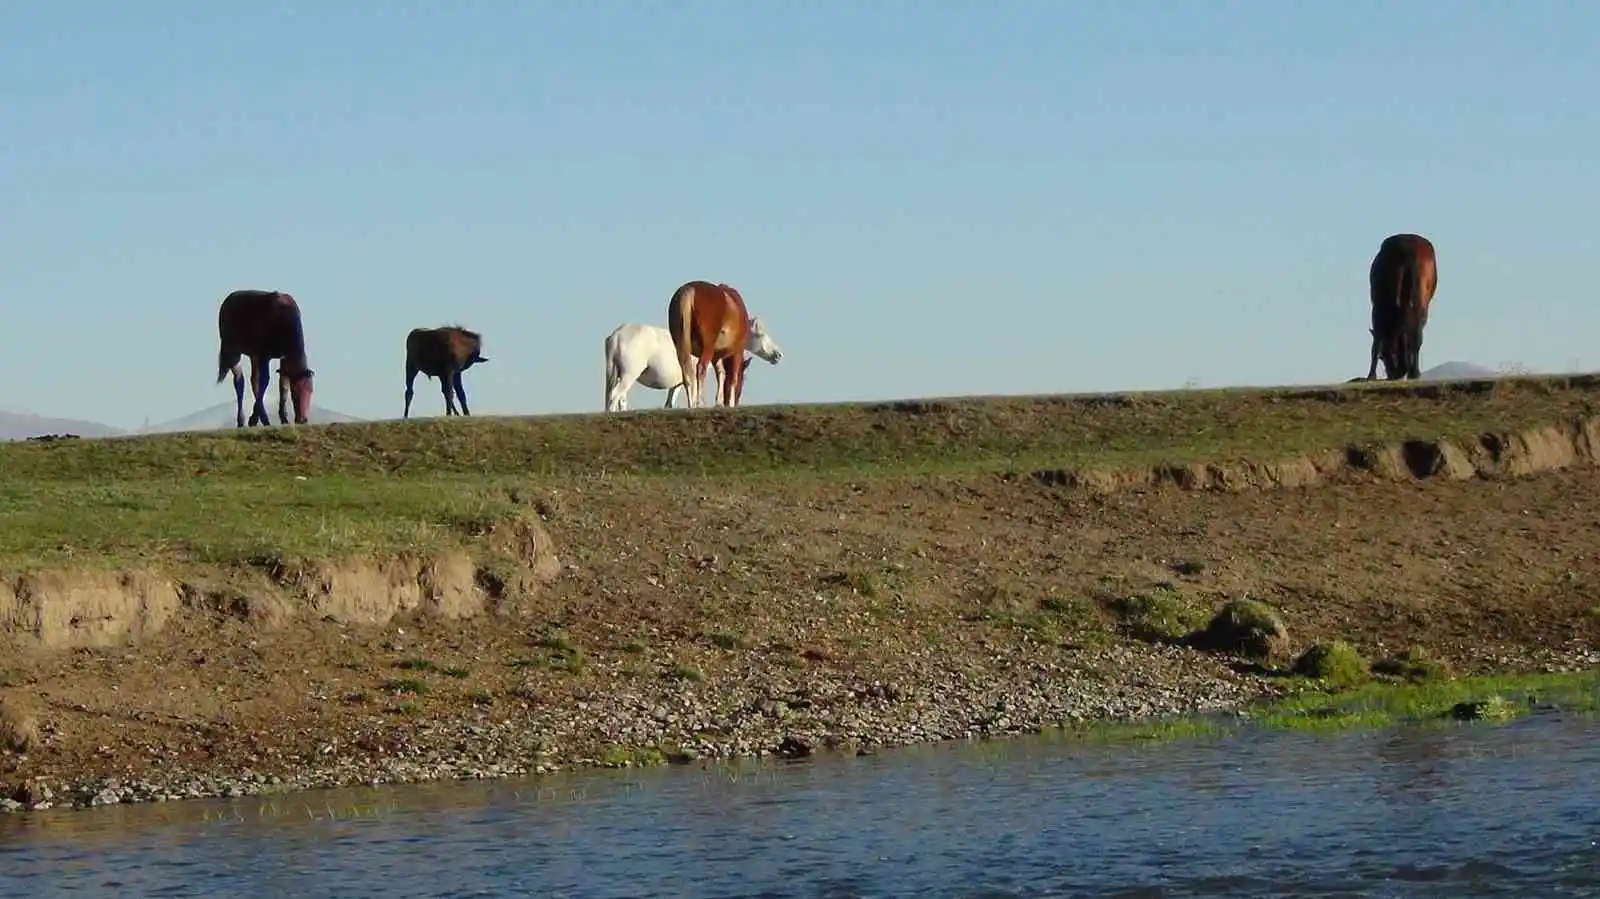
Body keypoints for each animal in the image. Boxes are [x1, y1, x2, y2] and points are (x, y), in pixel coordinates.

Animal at [216, 287, 315, 425]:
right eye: (294, 390)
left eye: (311, 390)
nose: (303, 419)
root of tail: (229, 299)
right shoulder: (264, 355)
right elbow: (265, 380)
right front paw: (255, 418)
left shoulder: (283, 359)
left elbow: (282, 385)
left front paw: (283, 418)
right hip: (232, 350)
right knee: (239, 381)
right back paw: (243, 420)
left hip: (253, 354)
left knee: (253, 380)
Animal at [601, 318, 784, 409]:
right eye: (760, 334)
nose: (778, 354)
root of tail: (616, 336)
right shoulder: (693, 376)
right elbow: (694, 397)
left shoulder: (678, 383)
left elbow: (670, 403)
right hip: (629, 374)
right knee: (614, 396)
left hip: (618, 374)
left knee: (619, 398)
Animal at [1363, 230, 1440, 377]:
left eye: (1383, 356)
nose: (1394, 374)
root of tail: (1407, 251)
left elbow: (1376, 342)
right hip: (1420, 301)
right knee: (1416, 332)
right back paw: (1414, 372)